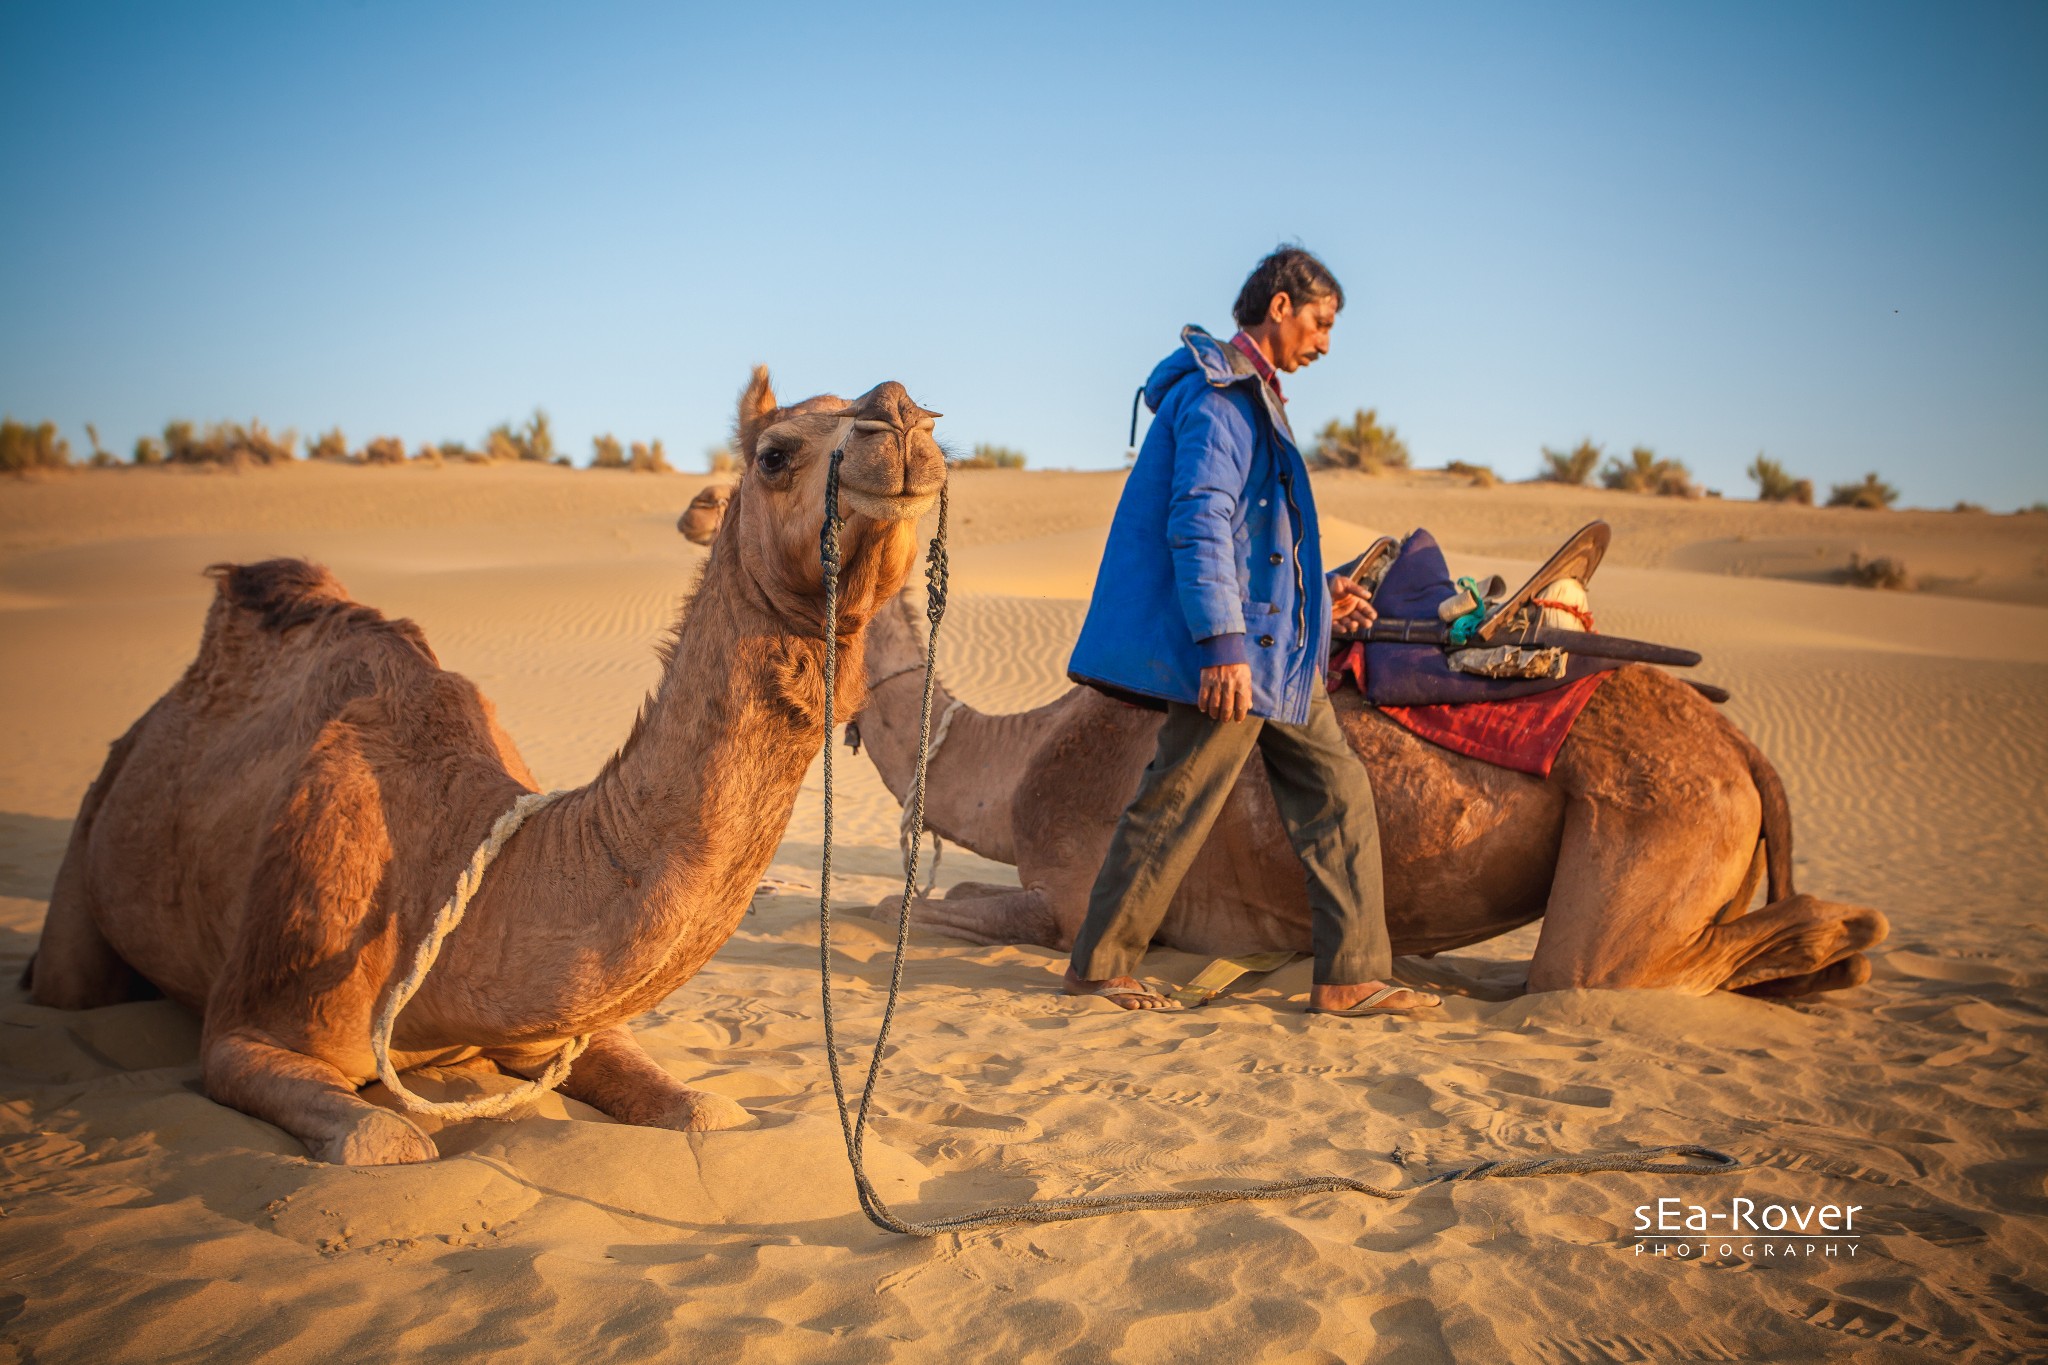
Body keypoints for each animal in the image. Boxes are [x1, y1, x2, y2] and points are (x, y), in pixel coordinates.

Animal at [28, 370, 946, 1162]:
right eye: (775, 453)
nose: (900, 415)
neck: (440, 856)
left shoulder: (559, 1028)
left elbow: (708, 1111)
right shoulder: (249, 1023)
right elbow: (385, 1139)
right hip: (91, 838)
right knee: (67, 984)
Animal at [843, 593, 1884, 998]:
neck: (1018, 759)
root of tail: (1740, 746)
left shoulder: (1068, 894)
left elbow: (901, 906)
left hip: (1663, 820)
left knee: (1596, 969)